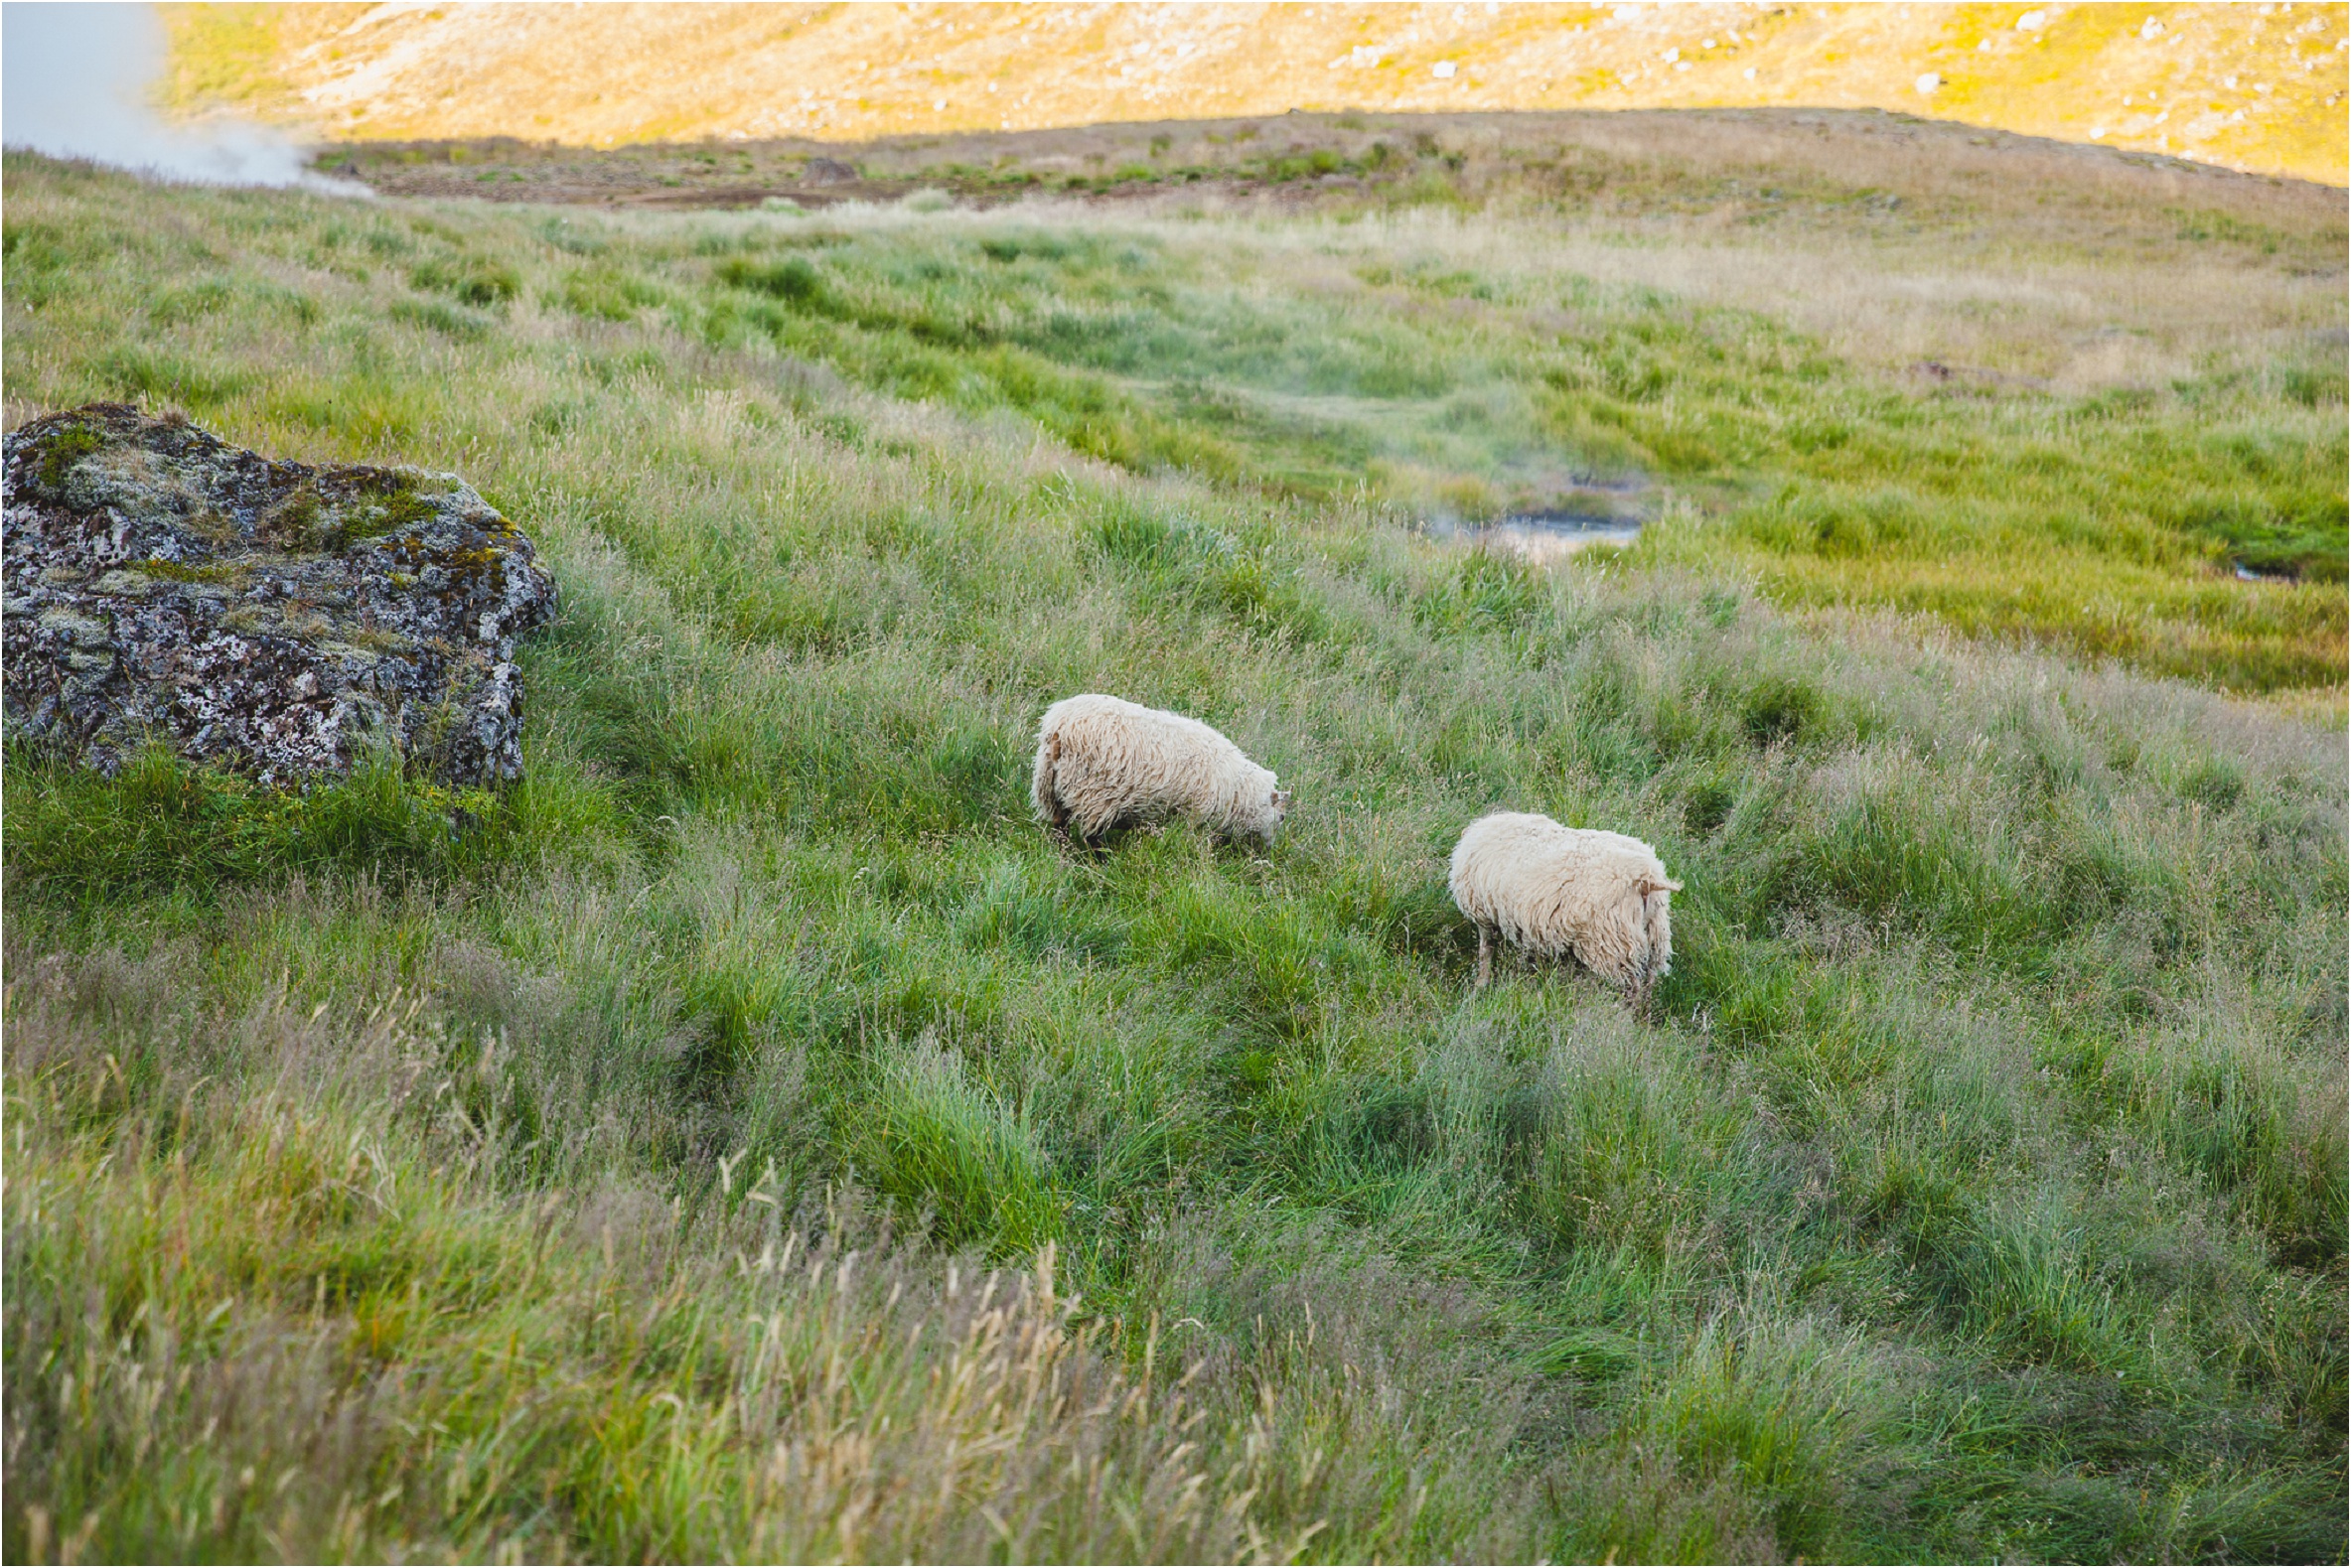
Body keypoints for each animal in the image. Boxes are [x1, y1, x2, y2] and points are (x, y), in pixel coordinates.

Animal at [1025, 695, 1288, 846]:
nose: (1271, 848)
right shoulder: (1192, 814)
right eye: (1282, 817)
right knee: (1092, 837)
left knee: (1060, 826)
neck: (1237, 787)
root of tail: (1059, 728)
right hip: (1094, 794)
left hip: (1049, 784)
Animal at [1438, 808, 1683, 1006]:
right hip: (1655, 938)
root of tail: (1645, 879)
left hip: (1612, 943)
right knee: (1648, 986)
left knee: (1631, 990)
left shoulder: (1484, 914)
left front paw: (1481, 984)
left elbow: (1485, 950)